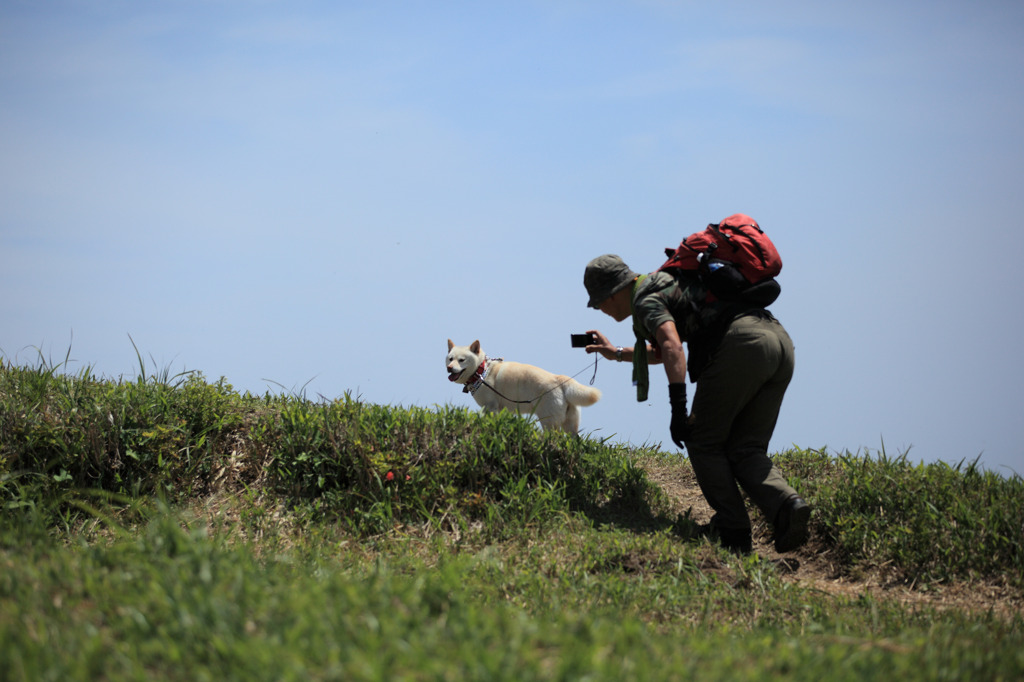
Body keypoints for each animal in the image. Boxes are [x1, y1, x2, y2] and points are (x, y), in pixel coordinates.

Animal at [446, 337, 602, 432]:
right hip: (570, 424)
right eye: (450, 359)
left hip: (548, 421)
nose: (449, 368)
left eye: (461, 360)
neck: (481, 370)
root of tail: (560, 379)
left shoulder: (490, 407)